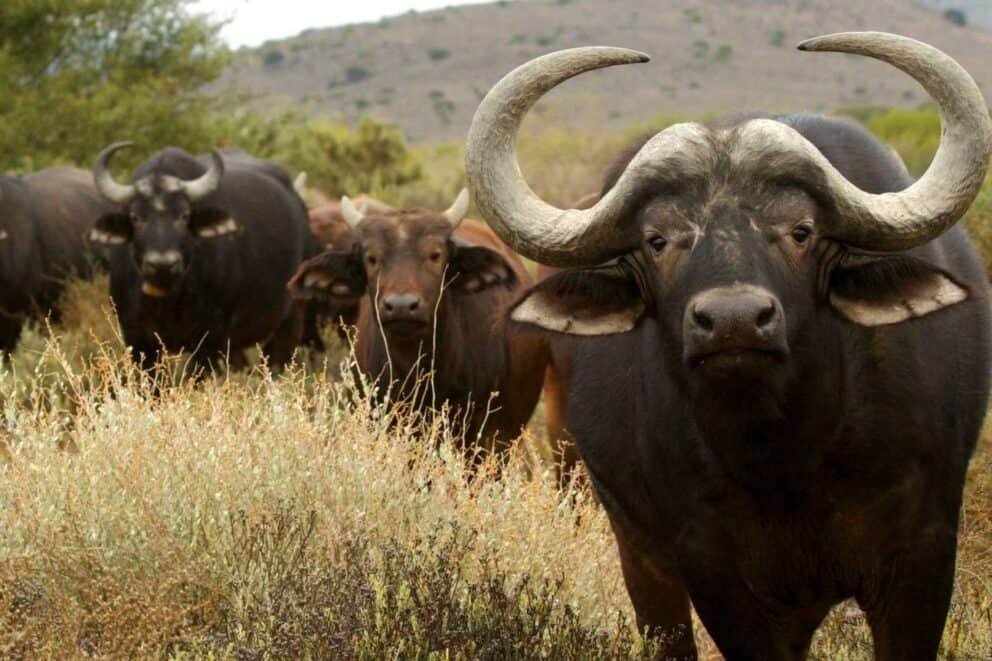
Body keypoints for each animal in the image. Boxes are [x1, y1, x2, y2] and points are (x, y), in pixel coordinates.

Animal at [90, 144, 311, 370]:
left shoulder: (210, 339)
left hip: (290, 319)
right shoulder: (136, 338)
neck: (169, 299)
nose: (162, 264)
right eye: (135, 217)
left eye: (184, 215)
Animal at [466, 33, 991, 659]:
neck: (785, 457)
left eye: (801, 231)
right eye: (658, 239)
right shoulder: (714, 573)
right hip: (639, 557)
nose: (734, 321)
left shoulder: (923, 555)